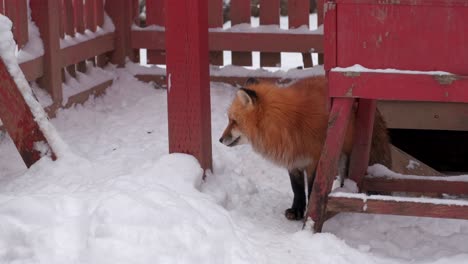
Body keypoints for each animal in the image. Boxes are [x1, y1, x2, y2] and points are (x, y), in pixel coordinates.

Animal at [219, 77, 392, 221]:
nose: (220, 140)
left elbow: (313, 189)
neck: (287, 123)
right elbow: (297, 189)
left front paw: (310, 212)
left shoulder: (315, 161)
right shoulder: (293, 160)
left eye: (233, 121)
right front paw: (296, 211)